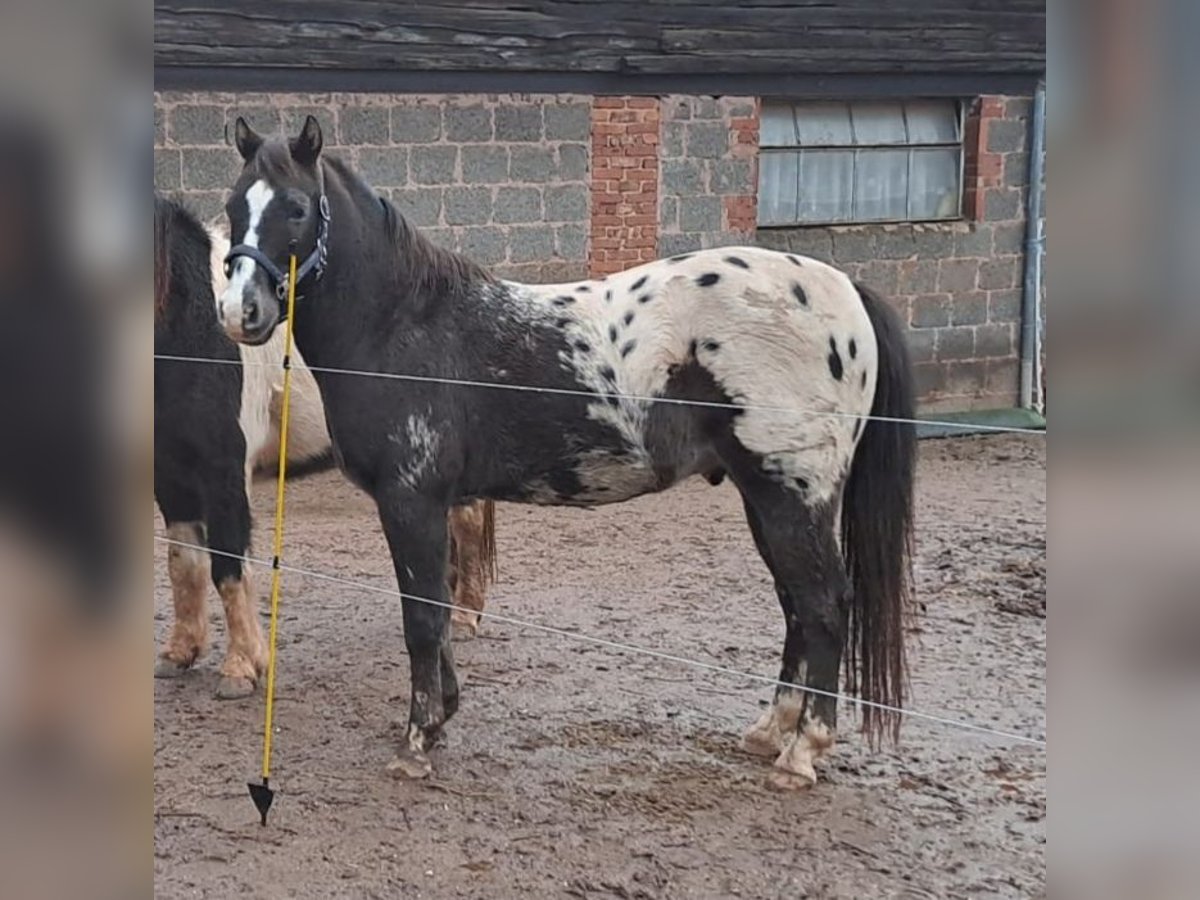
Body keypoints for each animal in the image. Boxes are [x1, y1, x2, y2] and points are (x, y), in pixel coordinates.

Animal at [156, 199, 501, 705]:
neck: (195, 328)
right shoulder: (171, 475)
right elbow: (184, 564)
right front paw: (179, 652)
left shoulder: (224, 474)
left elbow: (228, 566)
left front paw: (241, 668)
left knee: (469, 523)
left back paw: (463, 618)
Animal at [218, 118, 916, 787]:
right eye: (232, 206)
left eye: (297, 208)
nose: (240, 312)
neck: (403, 325)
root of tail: (843, 288)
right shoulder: (431, 503)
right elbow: (436, 614)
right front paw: (441, 718)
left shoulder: (410, 501)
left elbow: (421, 618)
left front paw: (417, 743)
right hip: (765, 500)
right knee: (797, 606)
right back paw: (771, 732)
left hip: (793, 497)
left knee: (824, 606)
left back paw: (801, 755)